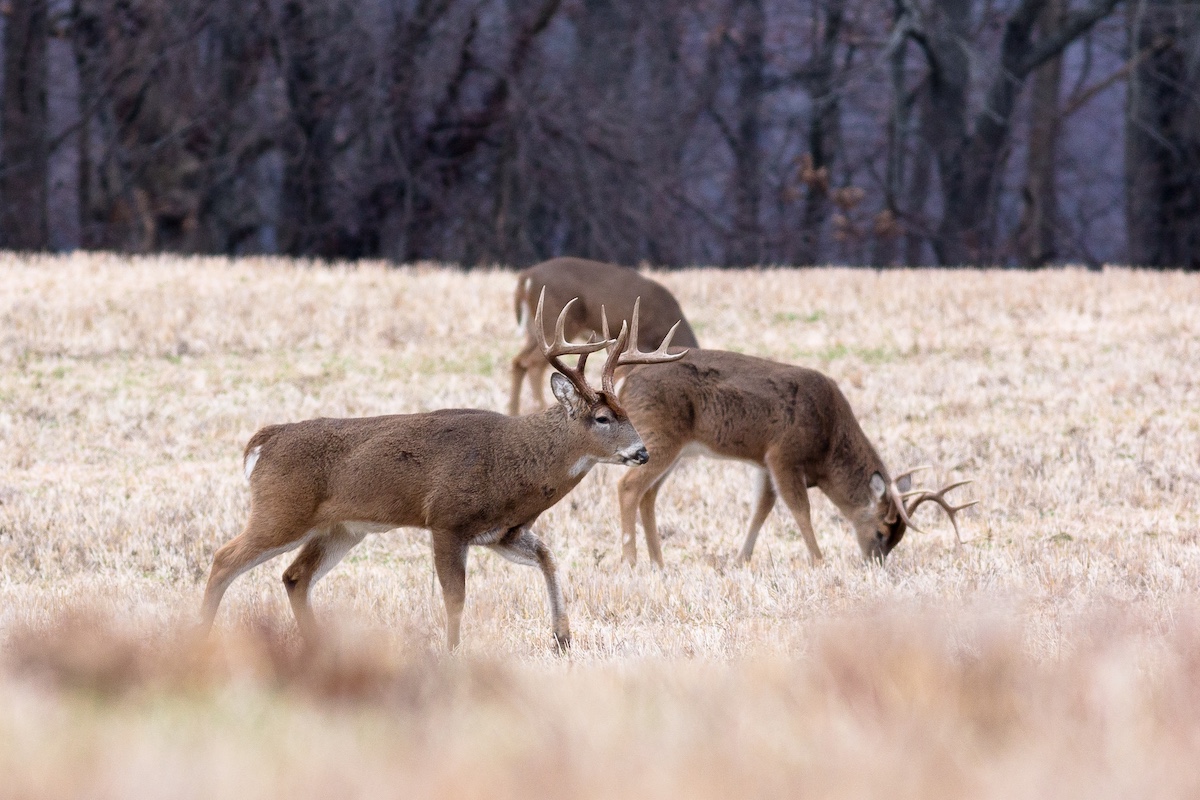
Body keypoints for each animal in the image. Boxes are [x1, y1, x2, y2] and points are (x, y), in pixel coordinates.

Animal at [199, 290, 687, 650]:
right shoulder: (447, 520)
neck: (514, 462)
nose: (642, 452)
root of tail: (261, 442)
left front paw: (562, 638)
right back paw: (200, 635)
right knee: (224, 559)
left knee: (294, 577)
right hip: (282, 510)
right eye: (602, 418)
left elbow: (548, 557)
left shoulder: (503, 531)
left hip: (341, 528)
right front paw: (453, 652)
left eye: (627, 412)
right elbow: (456, 598)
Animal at [509, 257, 700, 416]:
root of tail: (526, 275)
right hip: (557, 321)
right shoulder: (644, 339)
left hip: (534, 328)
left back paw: (514, 411)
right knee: (533, 363)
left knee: (518, 360)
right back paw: (540, 407)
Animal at [614, 348, 976, 567]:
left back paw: (659, 564)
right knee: (628, 487)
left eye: (898, 538)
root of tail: (622, 381)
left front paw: (740, 560)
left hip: (672, 447)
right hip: (660, 434)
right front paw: (819, 561)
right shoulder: (783, 454)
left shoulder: (764, 462)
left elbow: (761, 509)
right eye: (880, 533)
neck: (828, 446)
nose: (876, 563)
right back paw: (631, 562)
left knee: (649, 494)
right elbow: (800, 510)